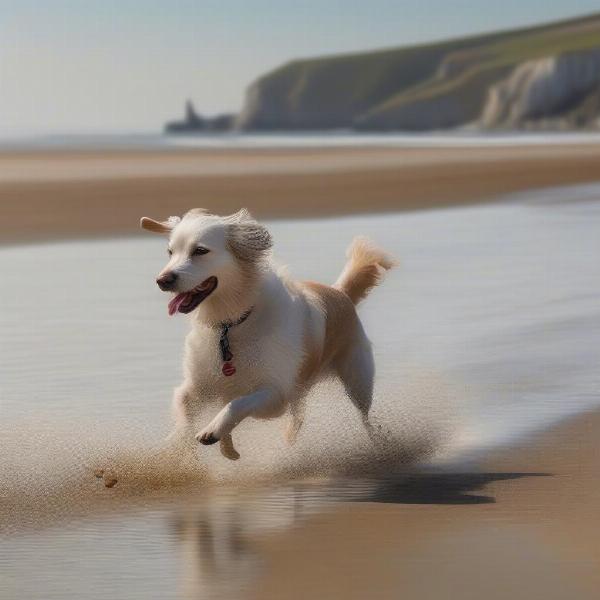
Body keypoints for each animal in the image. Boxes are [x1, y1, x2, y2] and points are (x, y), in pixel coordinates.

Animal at [140, 209, 394, 462]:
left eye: (200, 251)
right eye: (171, 252)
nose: (162, 280)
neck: (231, 325)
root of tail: (341, 292)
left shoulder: (274, 395)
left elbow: (238, 403)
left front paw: (212, 431)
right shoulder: (199, 385)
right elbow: (184, 404)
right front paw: (182, 444)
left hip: (357, 381)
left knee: (366, 417)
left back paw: (379, 444)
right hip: (302, 387)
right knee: (299, 416)